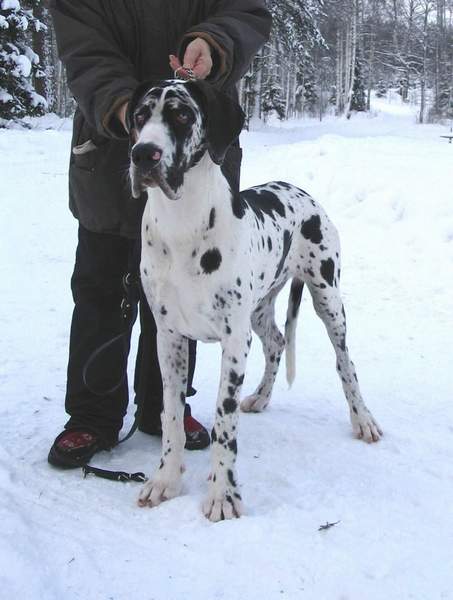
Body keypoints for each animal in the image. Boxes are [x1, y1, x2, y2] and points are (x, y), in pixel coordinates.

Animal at [127, 79, 382, 521]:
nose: (144, 154)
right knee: (277, 342)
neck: (182, 227)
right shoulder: (169, 337)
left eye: (182, 114)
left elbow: (223, 423)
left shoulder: (233, 341)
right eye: (141, 116)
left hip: (328, 299)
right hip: (260, 310)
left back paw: (362, 419)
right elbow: (171, 415)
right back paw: (262, 397)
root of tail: (301, 191)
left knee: (345, 363)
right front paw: (165, 480)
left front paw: (222, 494)